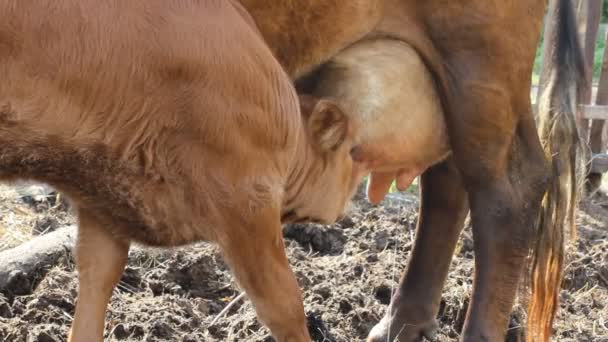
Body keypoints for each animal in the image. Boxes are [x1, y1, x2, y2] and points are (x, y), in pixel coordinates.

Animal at [0, 1, 368, 340]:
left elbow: (97, 276)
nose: (352, 197)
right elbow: (283, 304)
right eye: (351, 151)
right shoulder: (247, 197)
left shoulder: (103, 197)